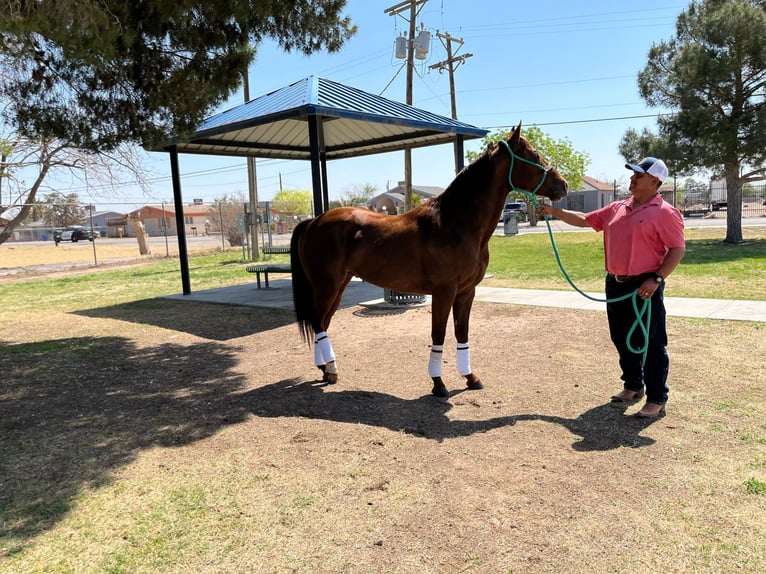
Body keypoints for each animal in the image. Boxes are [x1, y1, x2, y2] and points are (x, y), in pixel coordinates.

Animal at [290, 123, 568, 398]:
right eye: (534, 154)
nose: (563, 185)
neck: (454, 224)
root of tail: (314, 221)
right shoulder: (444, 291)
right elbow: (439, 333)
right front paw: (438, 383)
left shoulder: (466, 291)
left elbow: (461, 332)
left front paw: (470, 377)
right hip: (327, 286)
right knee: (319, 321)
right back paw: (330, 369)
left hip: (339, 285)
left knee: (322, 322)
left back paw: (326, 370)